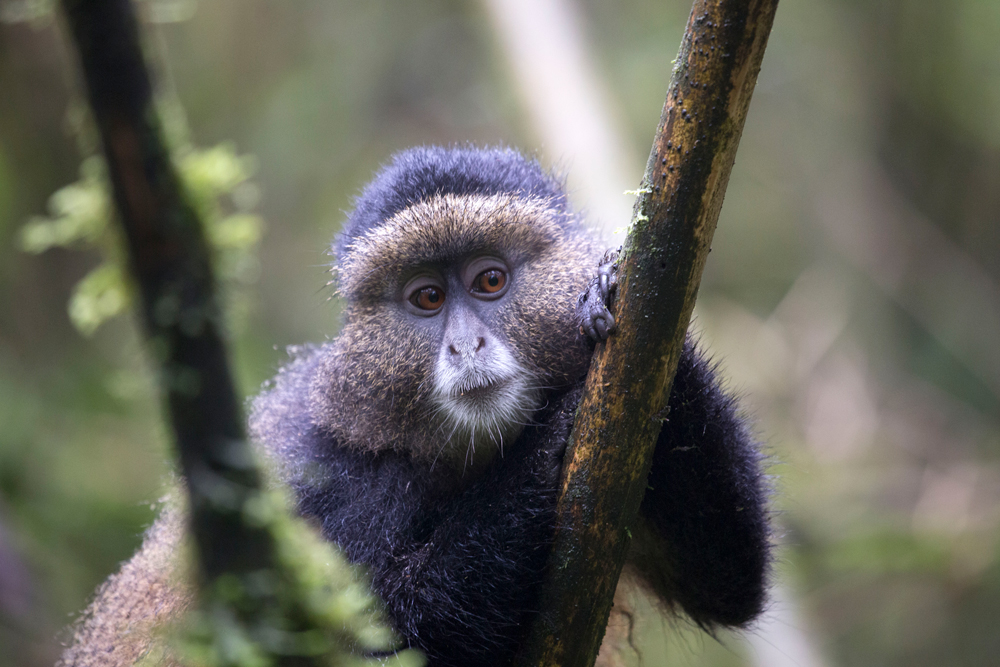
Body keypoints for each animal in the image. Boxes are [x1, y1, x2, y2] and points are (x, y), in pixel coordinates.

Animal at [56, 146, 772, 667]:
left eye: (490, 281)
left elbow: (725, 577)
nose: (464, 344)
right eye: (427, 298)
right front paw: (543, 448)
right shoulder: (325, 482)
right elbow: (389, 630)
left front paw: (611, 291)